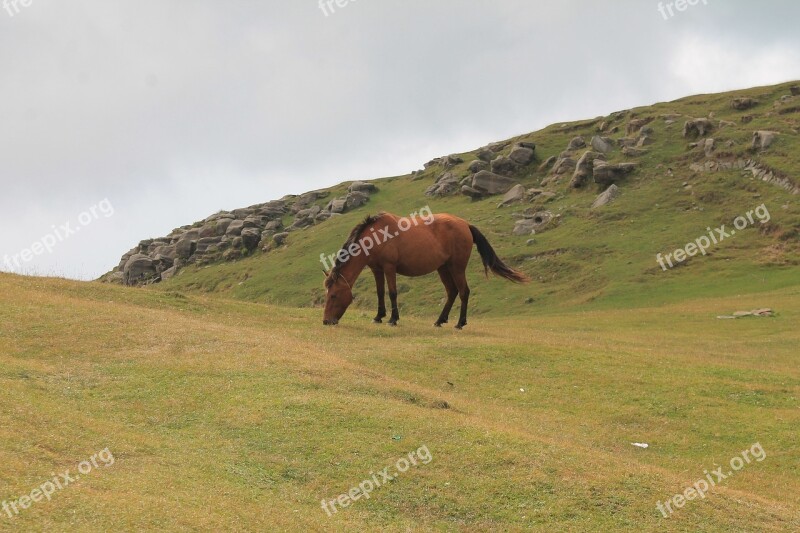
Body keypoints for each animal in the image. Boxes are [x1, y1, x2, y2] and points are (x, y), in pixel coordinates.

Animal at [322, 210, 528, 326]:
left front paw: (393, 319)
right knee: (452, 292)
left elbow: (392, 292)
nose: (326, 321)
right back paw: (440, 320)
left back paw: (460, 323)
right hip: (443, 268)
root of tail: (465, 225)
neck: (375, 236)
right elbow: (380, 293)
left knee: (463, 292)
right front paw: (379, 316)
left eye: (334, 295)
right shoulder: (377, 269)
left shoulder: (389, 267)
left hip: (457, 268)